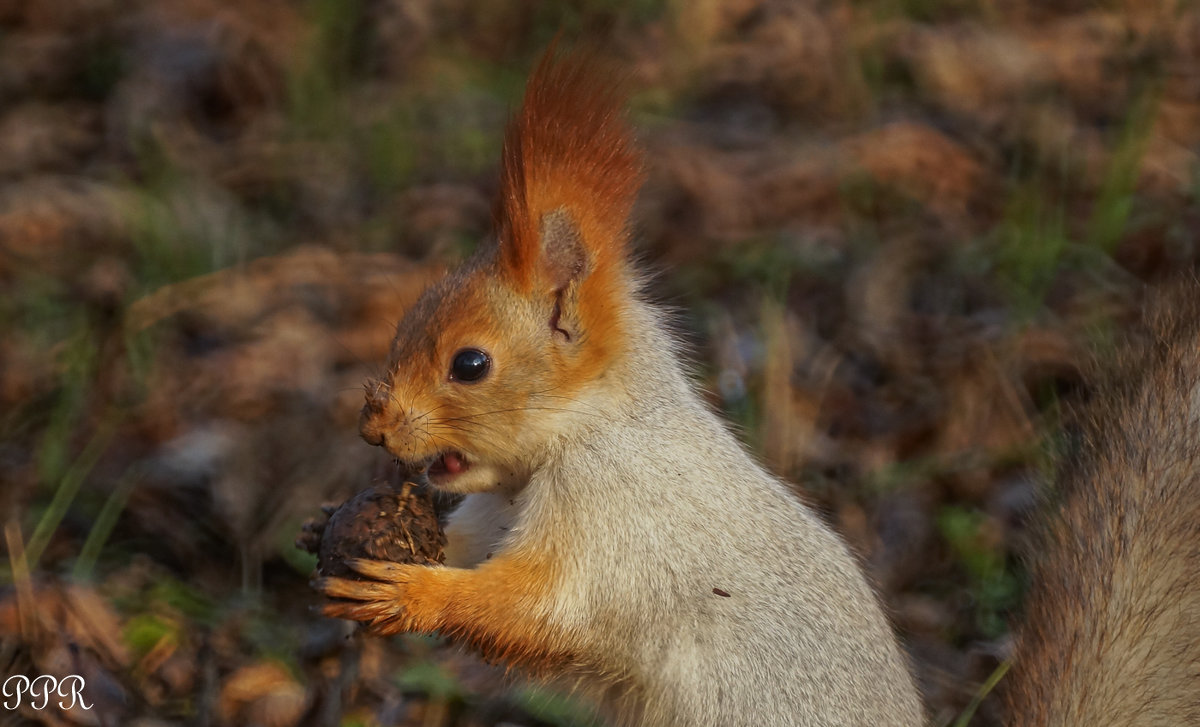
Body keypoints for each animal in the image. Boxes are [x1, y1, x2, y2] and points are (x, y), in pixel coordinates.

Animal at [314, 47, 1195, 727]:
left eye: (470, 364)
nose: (372, 425)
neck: (590, 428)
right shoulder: (496, 510)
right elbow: (467, 543)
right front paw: (338, 523)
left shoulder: (619, 521)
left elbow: (540, 605)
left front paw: (411, 591)